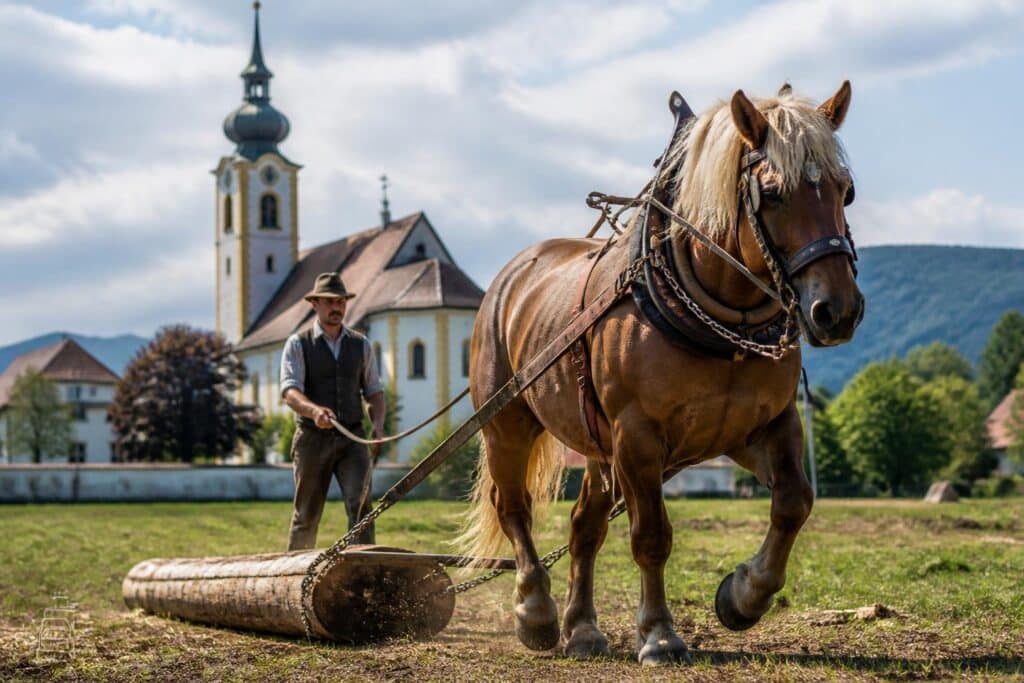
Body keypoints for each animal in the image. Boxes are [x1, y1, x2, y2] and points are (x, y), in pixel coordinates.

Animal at [458, 81, 863, 666]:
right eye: (772, 192)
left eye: (844, 190)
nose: (838, 311)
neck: (723, 325)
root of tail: (513, 274)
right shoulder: (638, 437)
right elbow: (650, 535)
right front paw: (658, 633)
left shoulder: (764, 427)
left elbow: (794, 502)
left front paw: (744, 595)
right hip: (507, 423)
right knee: (513, 508)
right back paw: (535, 610)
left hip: (598, 447)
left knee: (584, 527)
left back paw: (583, 628)